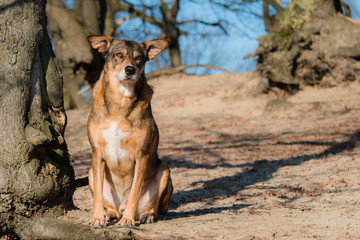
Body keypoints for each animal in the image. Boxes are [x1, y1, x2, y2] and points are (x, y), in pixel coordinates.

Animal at [86, 35, 172, 227]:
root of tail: (121, 206)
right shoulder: (97, 153)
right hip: (90, 173)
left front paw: (128, 220)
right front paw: (97, 218)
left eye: (139, 58)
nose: (130, 69)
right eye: (119, 55)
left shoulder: (142, 155)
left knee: (156, 208)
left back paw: (145, 215)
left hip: (164, 170)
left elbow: (134, 192)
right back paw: (109, 214)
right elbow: (97, 197)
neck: (121, 101)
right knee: (109, 205)